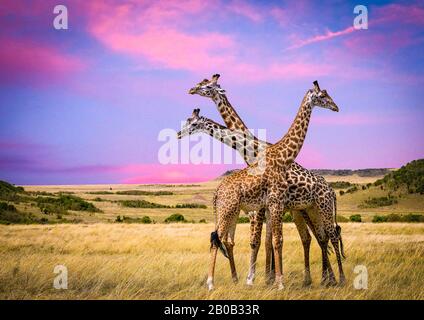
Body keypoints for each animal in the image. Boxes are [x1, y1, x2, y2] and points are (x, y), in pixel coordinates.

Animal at [188, 75, 344, 288]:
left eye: (207, 85)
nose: (192, 89)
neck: (254, 149)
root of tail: (331, 190)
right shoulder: (266, 207)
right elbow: (266, 241)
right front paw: (265, 278)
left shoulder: (265, 207)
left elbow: (264, 241)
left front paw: (261, 279)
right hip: (305, 210)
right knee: (316, 237)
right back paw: (321, 279)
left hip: (315, 208)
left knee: (326, 236)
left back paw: (333, 279)